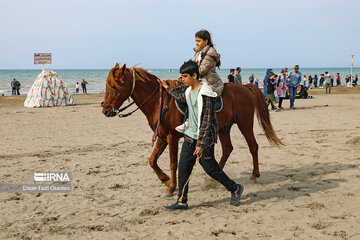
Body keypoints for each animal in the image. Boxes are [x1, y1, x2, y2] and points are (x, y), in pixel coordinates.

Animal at [102, 62, 284, 194]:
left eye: (113, 86)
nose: (105, 110)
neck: (159, 102)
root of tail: (245, 87)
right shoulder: (162, 136)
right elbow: (152, 160)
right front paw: (165, 179)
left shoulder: (171, 137)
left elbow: (173, 163)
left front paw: (171, 186)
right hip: (223, 128)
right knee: (228, 149)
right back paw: (212, 178)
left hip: (245, 124)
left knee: (253, 146)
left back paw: (254, 174)